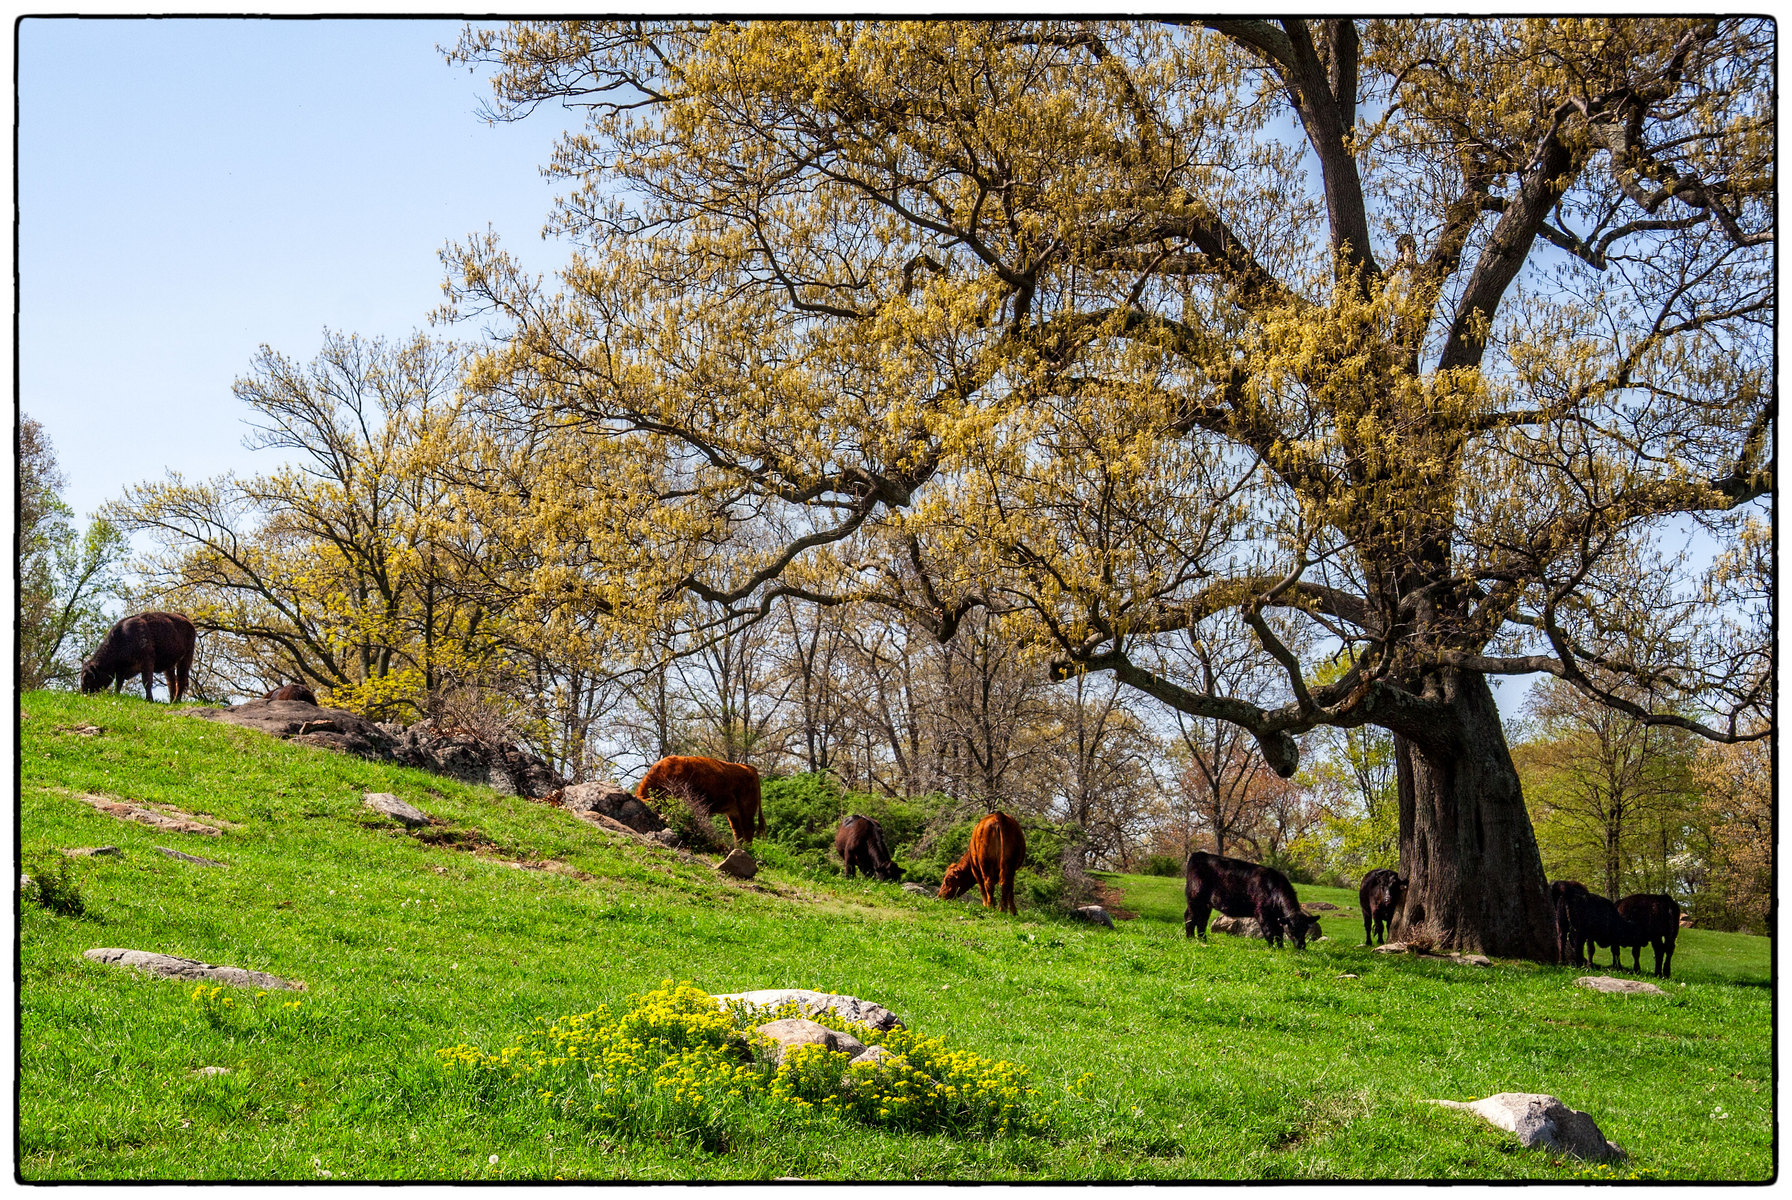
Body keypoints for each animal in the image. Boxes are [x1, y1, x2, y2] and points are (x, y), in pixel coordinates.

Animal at [1182, 852, 1326, 952]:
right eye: (1292, 929)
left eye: (1306, 929)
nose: (1301, 946)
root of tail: (1198, 854)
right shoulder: (1262, 913)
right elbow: (1269, 932)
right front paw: (1272, 949)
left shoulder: (1278, 918)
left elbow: (1279, 934)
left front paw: (1281, 948)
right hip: (1195, 898)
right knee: (1190, 917)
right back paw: (1190, 939)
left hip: (1206, 904)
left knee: (1202, 921)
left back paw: (1203, 940)